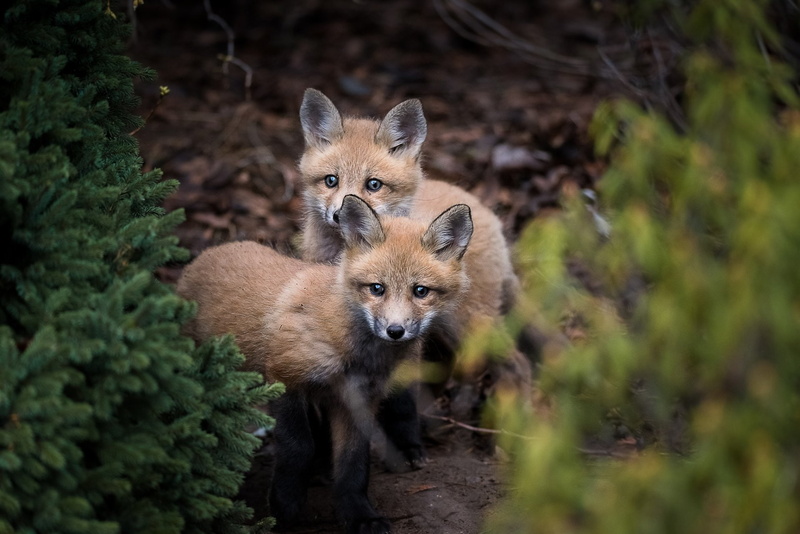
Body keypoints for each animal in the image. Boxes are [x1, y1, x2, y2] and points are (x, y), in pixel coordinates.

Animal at [177, 195, 473, 534]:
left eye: (420, 291)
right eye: (377, 288)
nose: (395, 331)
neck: (355, 353)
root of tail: (205, 254)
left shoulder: (358, 399)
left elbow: (354, 464)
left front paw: (359, 515)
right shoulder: (284, 377)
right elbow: (297, 446)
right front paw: (285, 506)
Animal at [297, 88, 531, 404]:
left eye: (374, 184)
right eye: (330, 181)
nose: (340, 213)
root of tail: (488, 213)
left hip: (468, 321)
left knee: (518, 364)